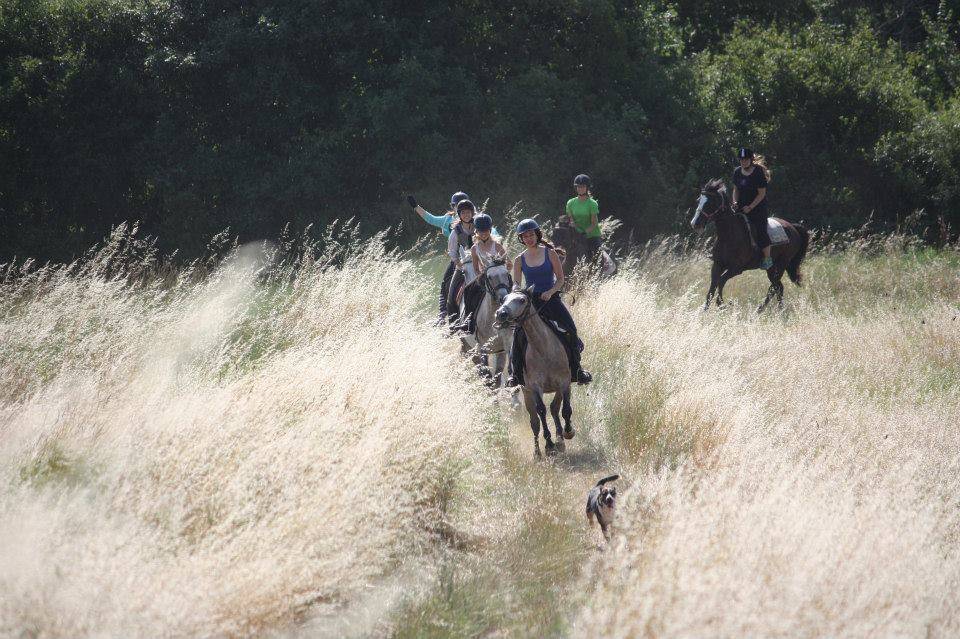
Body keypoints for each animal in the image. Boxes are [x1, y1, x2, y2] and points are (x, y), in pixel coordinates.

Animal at [688, 179, 808, 314]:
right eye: (699, 200)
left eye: (710, 203)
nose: (695, 223)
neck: (729, 235)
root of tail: (793, 228)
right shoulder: (717, 265)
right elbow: (712, 288)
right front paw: (704, 312)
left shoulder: (736, 269)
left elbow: (720, 282)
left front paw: (722, 304)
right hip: (772, 268)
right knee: (778, 287)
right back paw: (771, 310)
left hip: (780, 265)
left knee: (774, 287)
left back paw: (762, 310)